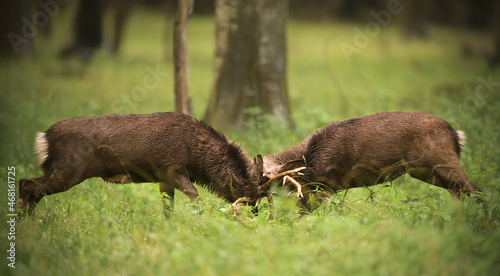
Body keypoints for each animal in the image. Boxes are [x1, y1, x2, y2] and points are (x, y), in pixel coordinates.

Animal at [264, 111, 486, 210]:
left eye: (266, 176)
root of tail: (456, 134)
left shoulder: (327, 184)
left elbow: (306, 213)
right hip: (424, 170)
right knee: (457, 190)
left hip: (442, 160)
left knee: (476, 189)